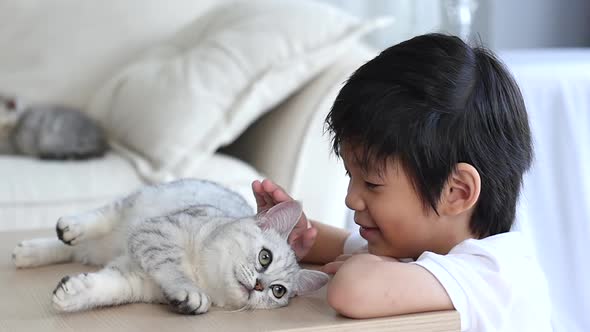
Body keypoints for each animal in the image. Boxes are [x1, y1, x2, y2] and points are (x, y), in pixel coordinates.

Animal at [12, 179, 328, 314]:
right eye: (265, 257)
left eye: (278, 292)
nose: (260, 286)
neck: (205, 276)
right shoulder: (156, 233)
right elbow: (172, 268)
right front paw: (191, 292)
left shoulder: (134, 280)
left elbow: (105, 289)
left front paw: (71, 295)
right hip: (134, 204)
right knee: (101, 217)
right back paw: (70, 227)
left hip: (97, 250)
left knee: (72, 249)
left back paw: (27, 253)